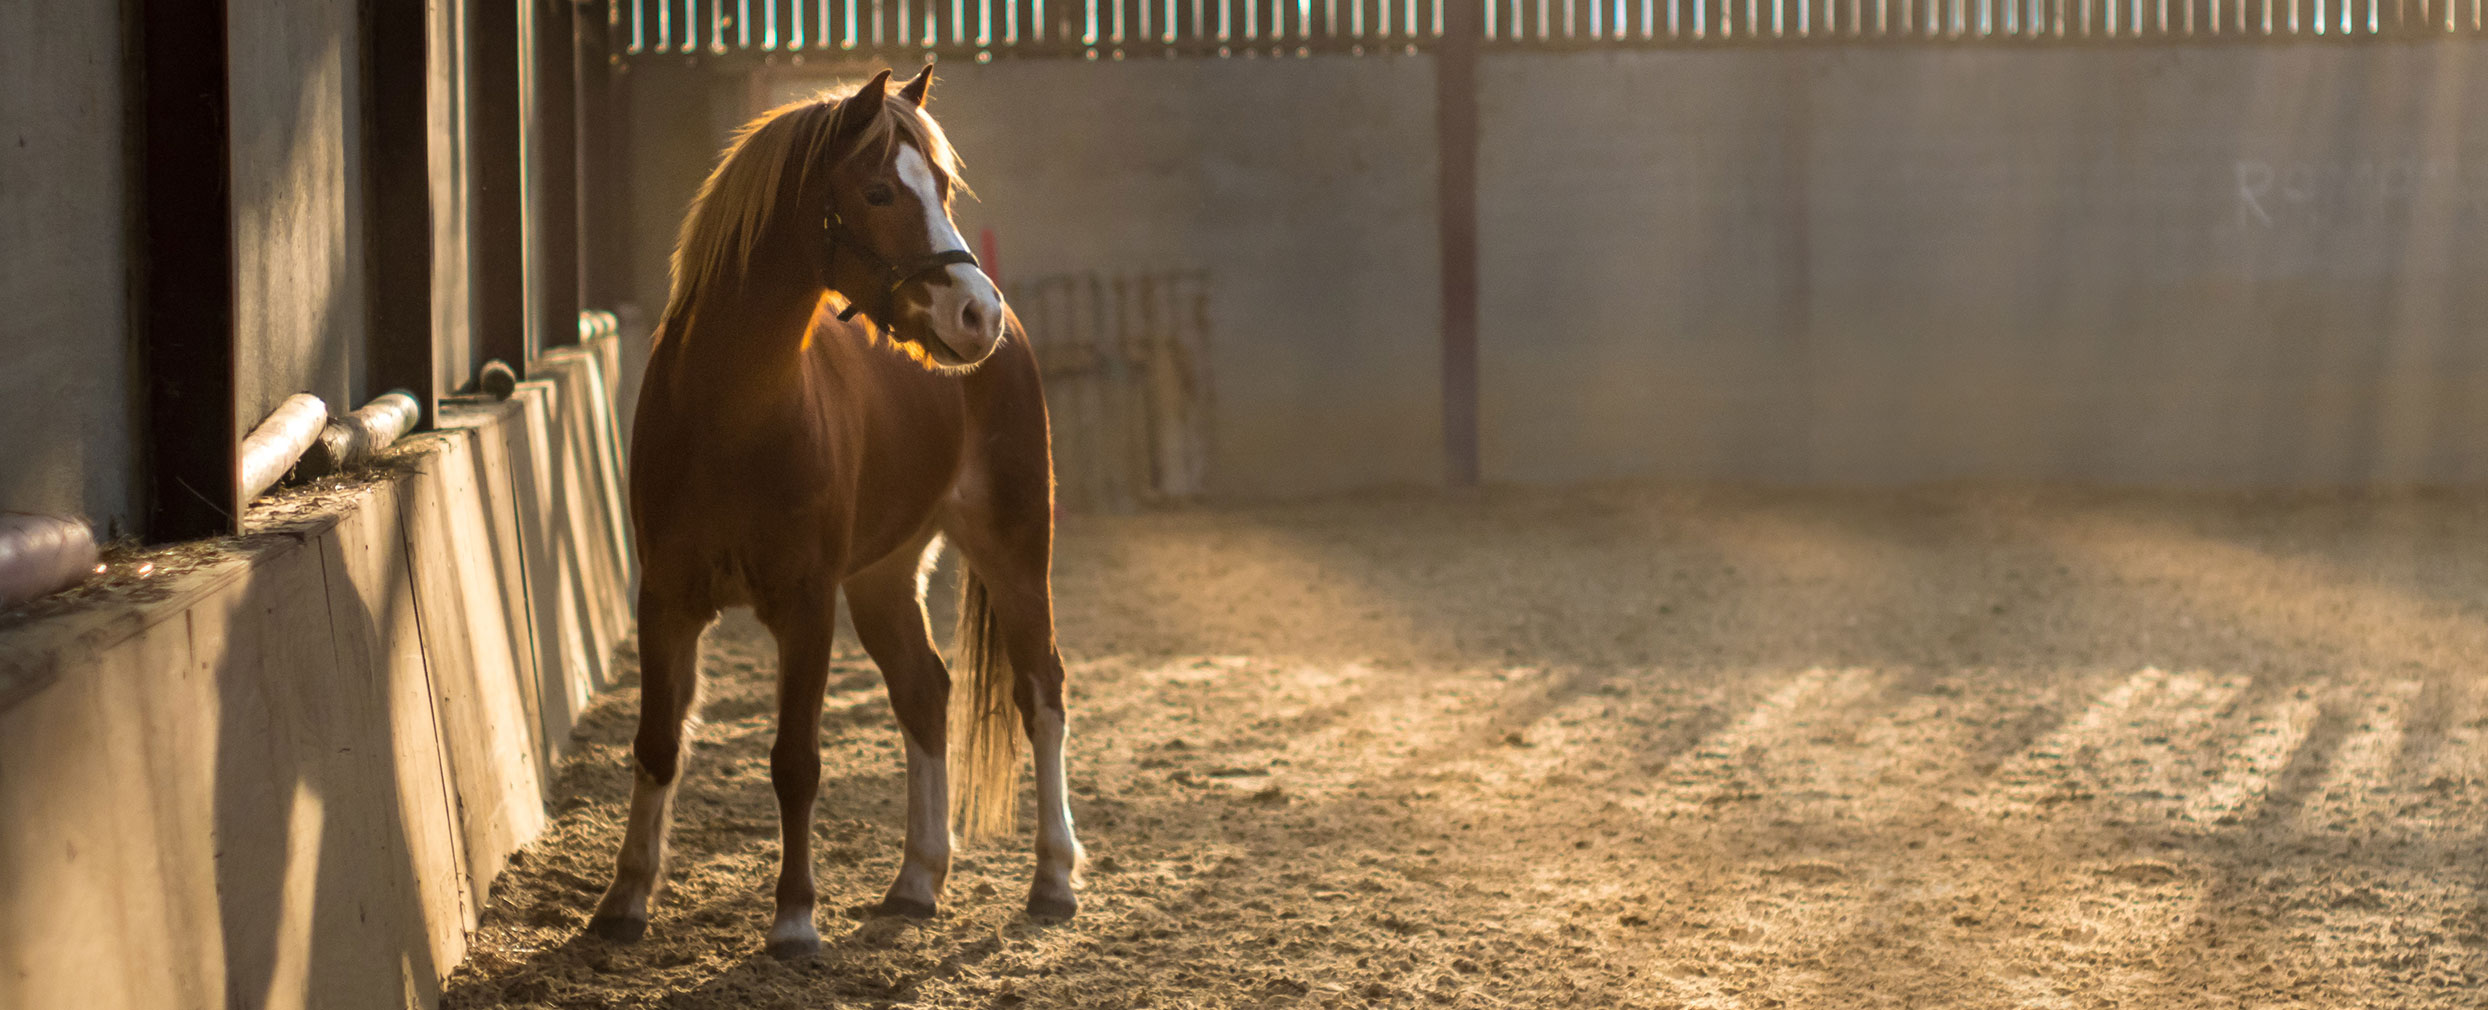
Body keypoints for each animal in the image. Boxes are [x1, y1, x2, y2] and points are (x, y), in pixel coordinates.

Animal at [597, 69, 1084, 955]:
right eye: (879, 191)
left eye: (944, 188)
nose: (977, 314)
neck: (731, 413)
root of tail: (1017, 340)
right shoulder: (667, 600)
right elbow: (656, 744)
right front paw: (624, 900)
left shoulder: (806, 605)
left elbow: (795, 759)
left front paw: (794, 918)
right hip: (885, 579)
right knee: (925, 692)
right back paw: (917, 881)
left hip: (1014, 549)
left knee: (1042, 691)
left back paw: (1054, 879)